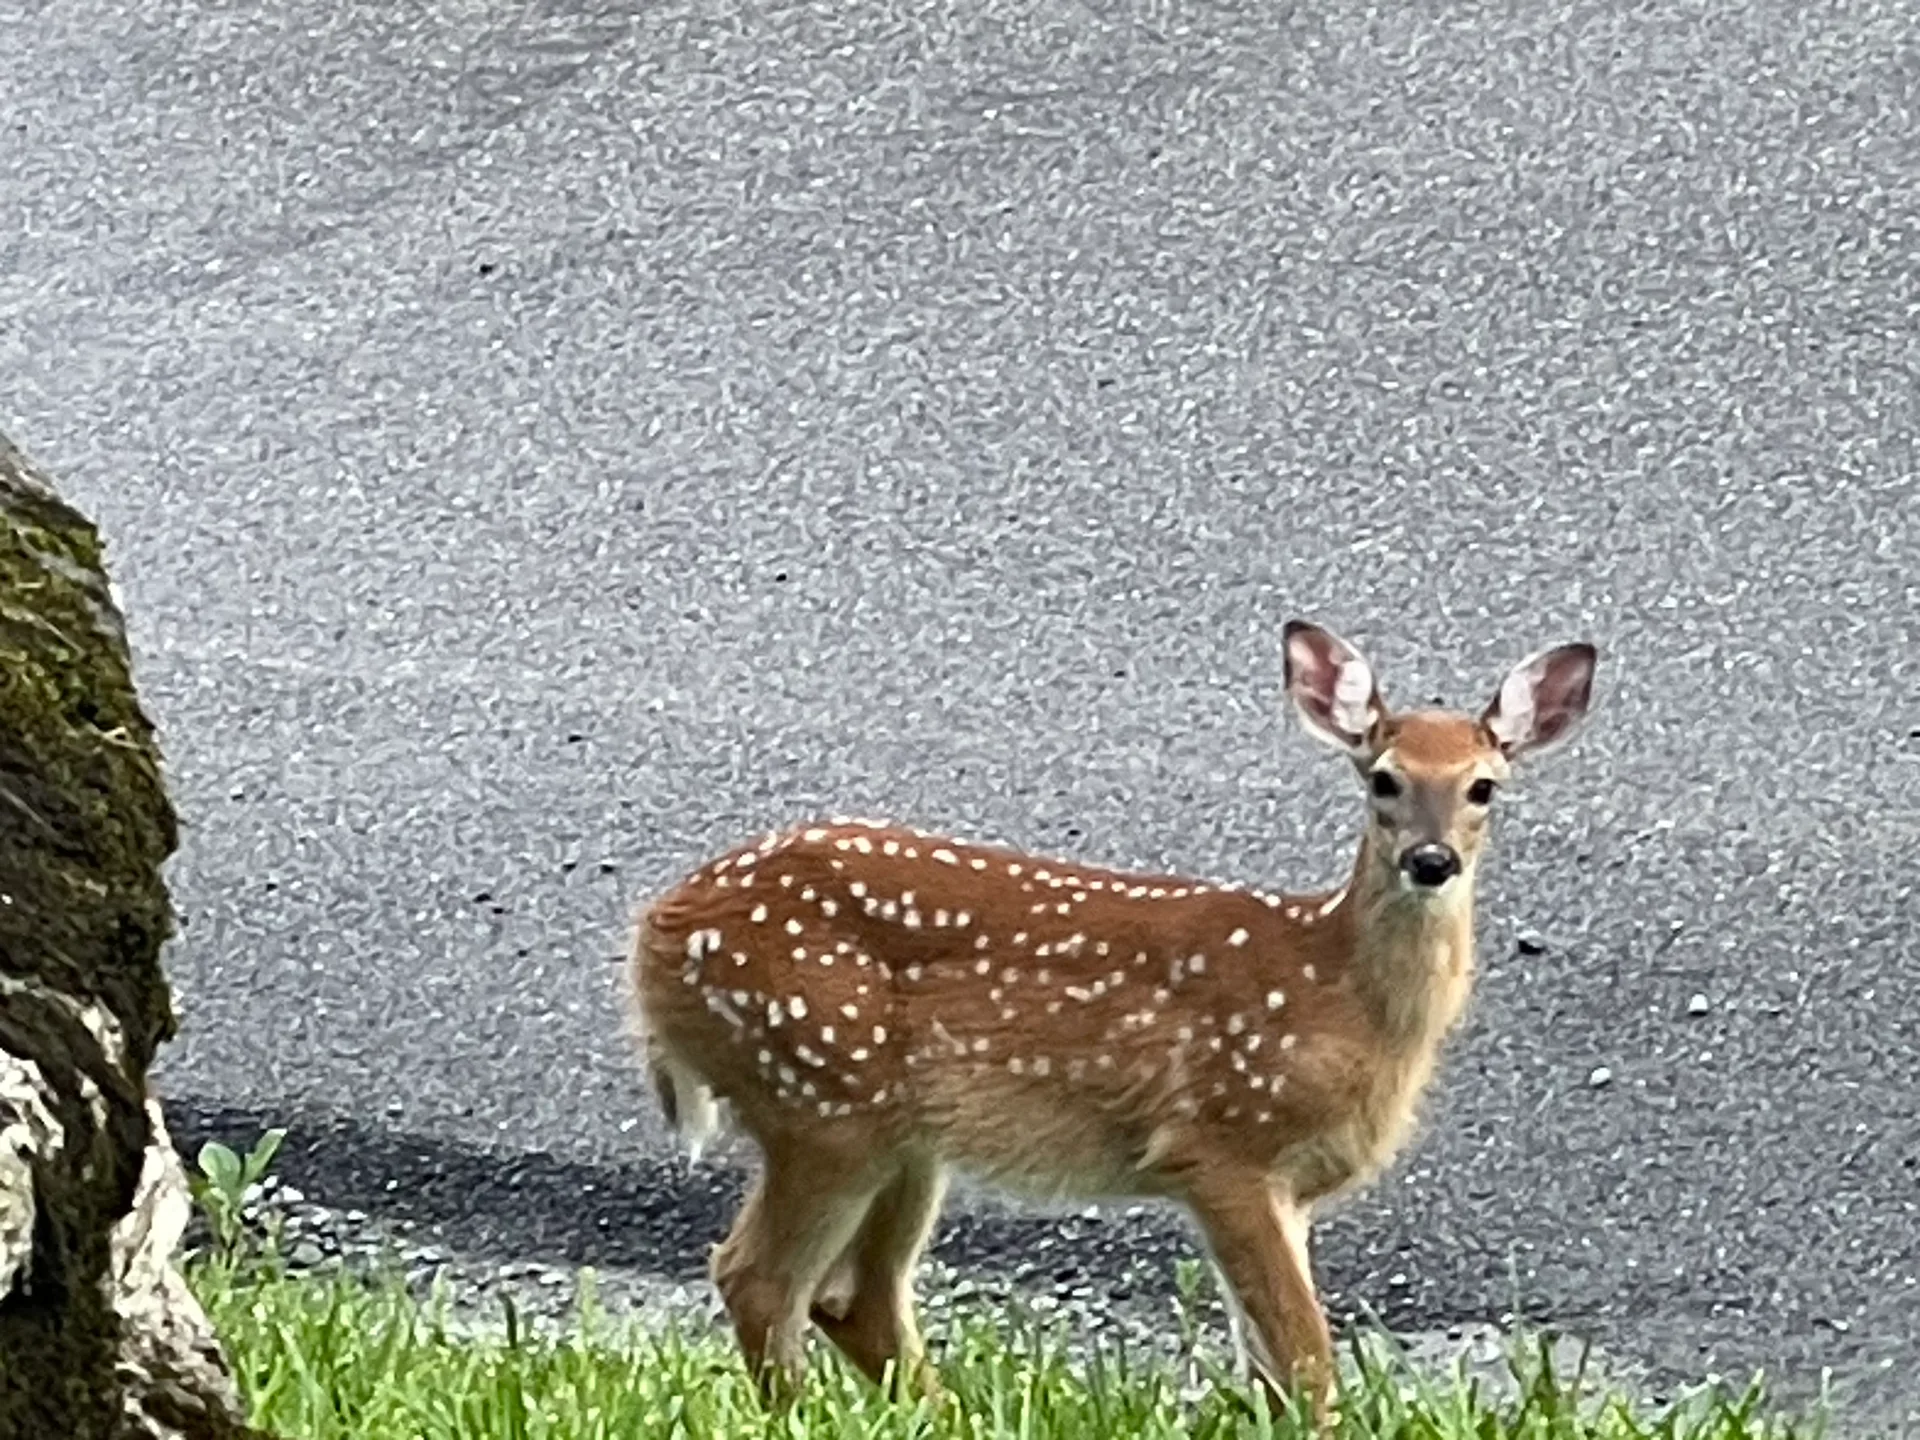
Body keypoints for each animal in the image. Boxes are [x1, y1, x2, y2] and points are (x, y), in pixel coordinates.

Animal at [628, 620, 1597, 1425]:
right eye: (1384, 779)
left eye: (1484, 787)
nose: (1431, 861)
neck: (1336, 990)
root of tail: (655, 934)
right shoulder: (1220, 1148)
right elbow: (1305, 1359)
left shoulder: (1290, 1191)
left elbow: (1271, 1367)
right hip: (819, 1099)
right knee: (759, 1279)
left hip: (899, 1139)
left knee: (849, 1299)